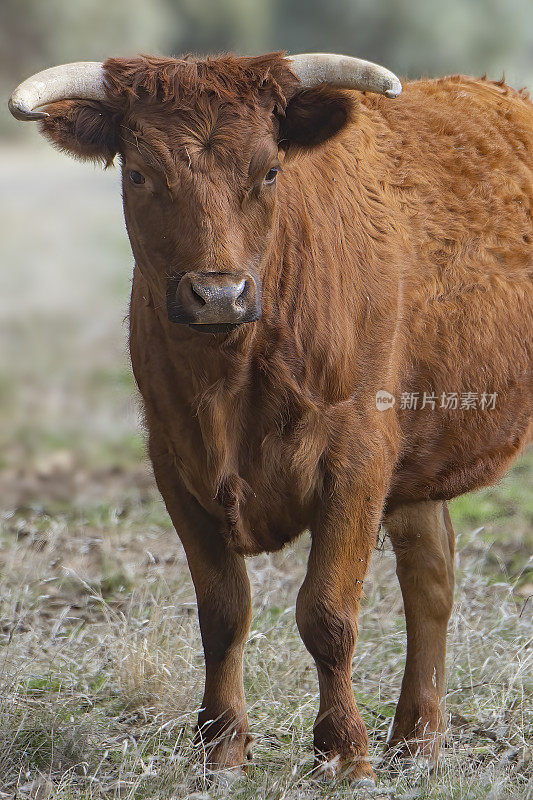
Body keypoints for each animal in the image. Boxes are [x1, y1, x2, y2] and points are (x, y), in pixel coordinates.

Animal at [8, 53, 532, 784]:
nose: (218, 293)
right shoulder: (174, 462)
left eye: (270, 172)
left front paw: (344, 750)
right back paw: (417, 743)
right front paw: (222, 747)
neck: (230, 380)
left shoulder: (358, 460)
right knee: (430, 575)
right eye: (139, 173)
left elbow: (327, 614)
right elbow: (223, 610)